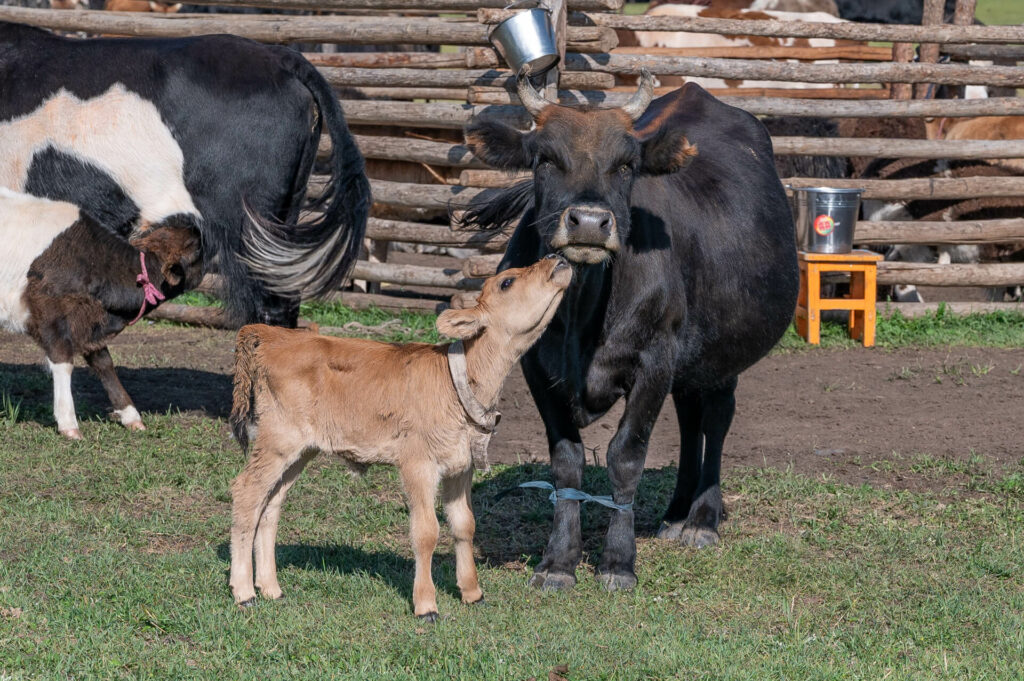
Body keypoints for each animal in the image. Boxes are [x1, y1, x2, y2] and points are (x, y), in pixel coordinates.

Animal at [227, 253, 573, 614]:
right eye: (507, 282)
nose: (556, 256)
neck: (459, 380)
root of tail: (271, 335)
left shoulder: (460, 465)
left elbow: (464, 524)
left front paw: (472, 592)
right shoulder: (417, 464)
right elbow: (426, 531)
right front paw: (426, 604)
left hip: (300, 451)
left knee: (271, 502)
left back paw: (270, 587)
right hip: (278, 440)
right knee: (247, 492)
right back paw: (244, 590)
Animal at [462, 74, 798, 593]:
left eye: (626, 165)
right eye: (544, 159)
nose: (589, 222)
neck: (583, 313)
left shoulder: (653, 361)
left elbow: (625, 457)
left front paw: (619, 563)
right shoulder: (537, 368)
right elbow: (567, 462)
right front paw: (557, 563)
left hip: (724, 356)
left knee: (716, 419)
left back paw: (702, 519)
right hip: (689, 363)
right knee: (690, 420)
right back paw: (676, 514)